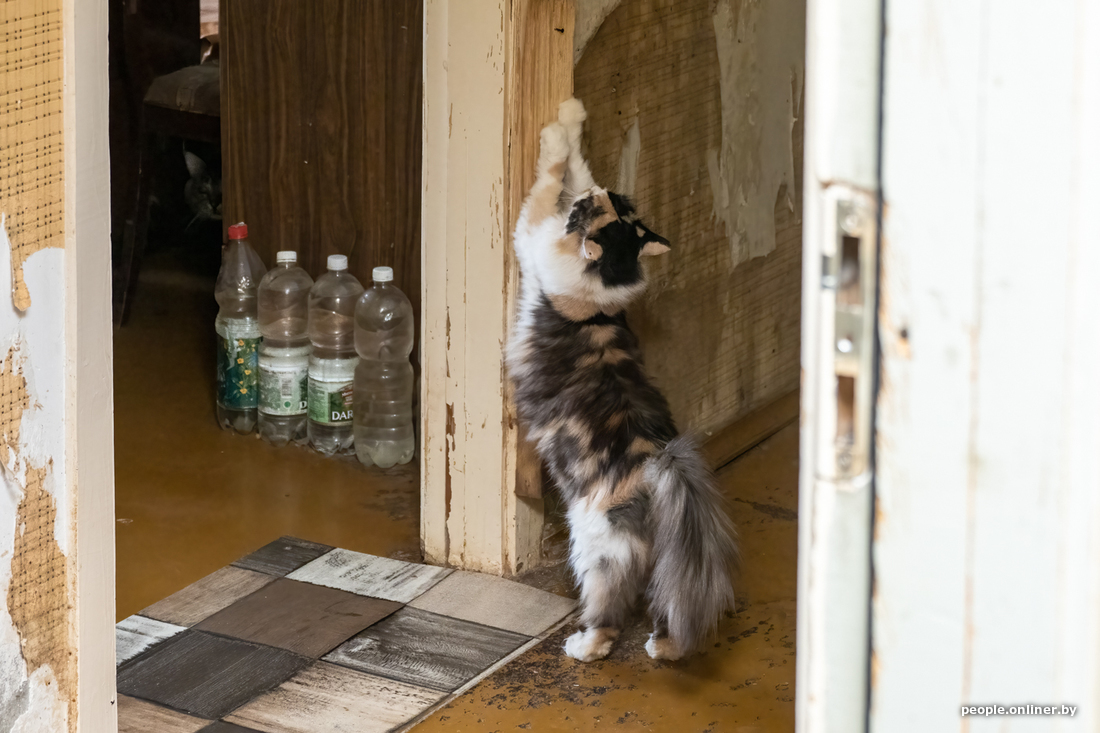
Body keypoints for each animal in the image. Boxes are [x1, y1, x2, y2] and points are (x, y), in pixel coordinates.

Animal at [508, 98, 739, 660]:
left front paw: (556, 130)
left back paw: (583, 646)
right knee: (667, 606)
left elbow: (548, 176)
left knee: (609, 616)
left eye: (587, 214)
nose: (595, 197)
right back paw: (663, 648)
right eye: (610, 203)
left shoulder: (532, 233)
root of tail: (659, 462)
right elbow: (575, 162)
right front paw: (573, 117)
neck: (599, 300)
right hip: (660, 562)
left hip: (596, 548)